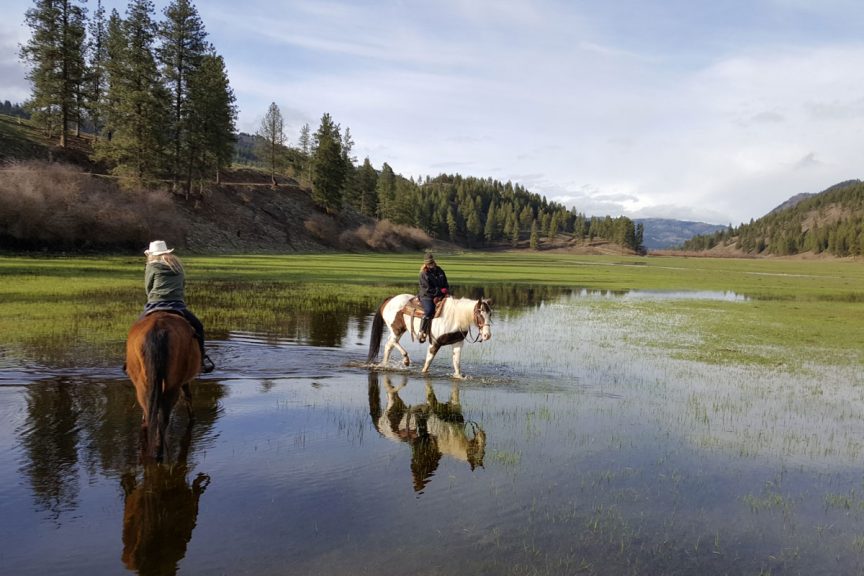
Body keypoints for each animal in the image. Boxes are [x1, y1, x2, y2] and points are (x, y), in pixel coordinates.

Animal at [125, 310, 201, 464]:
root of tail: (156, 329)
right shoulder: (183, 382)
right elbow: (188, 397)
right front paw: (192, 419)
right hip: (173, 387)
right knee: (163, 419)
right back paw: (159, 453)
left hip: (143, 386)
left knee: (148, 418)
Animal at [364, 294, 492, 380]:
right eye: (480, 313)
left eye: (489, 314)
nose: (487, 335)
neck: (455, 317)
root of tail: (390, 299)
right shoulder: (434, 343)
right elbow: (428, 362)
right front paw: (423, 373)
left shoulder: (457, 343)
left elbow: (456, 363)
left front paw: (458, 376)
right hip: (396, 329)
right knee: (392, 341)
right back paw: (405, 360)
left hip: (399, 330)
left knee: (389, 345)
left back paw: (385, 364)